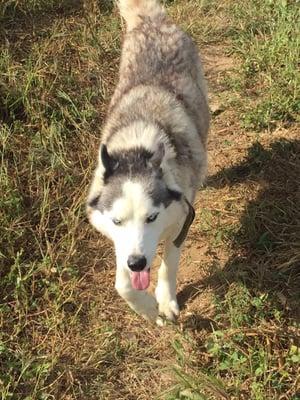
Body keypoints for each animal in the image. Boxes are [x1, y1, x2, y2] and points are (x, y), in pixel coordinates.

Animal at [86, 0, 209, 324]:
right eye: (117, 221)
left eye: (151, 218)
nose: (138, 263)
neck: (136, 149)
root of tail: (152, 21)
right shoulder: (119, 242)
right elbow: (122, 284)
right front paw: (146, 307)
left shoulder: (182, 220)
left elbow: (169, 263)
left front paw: (164, 301)